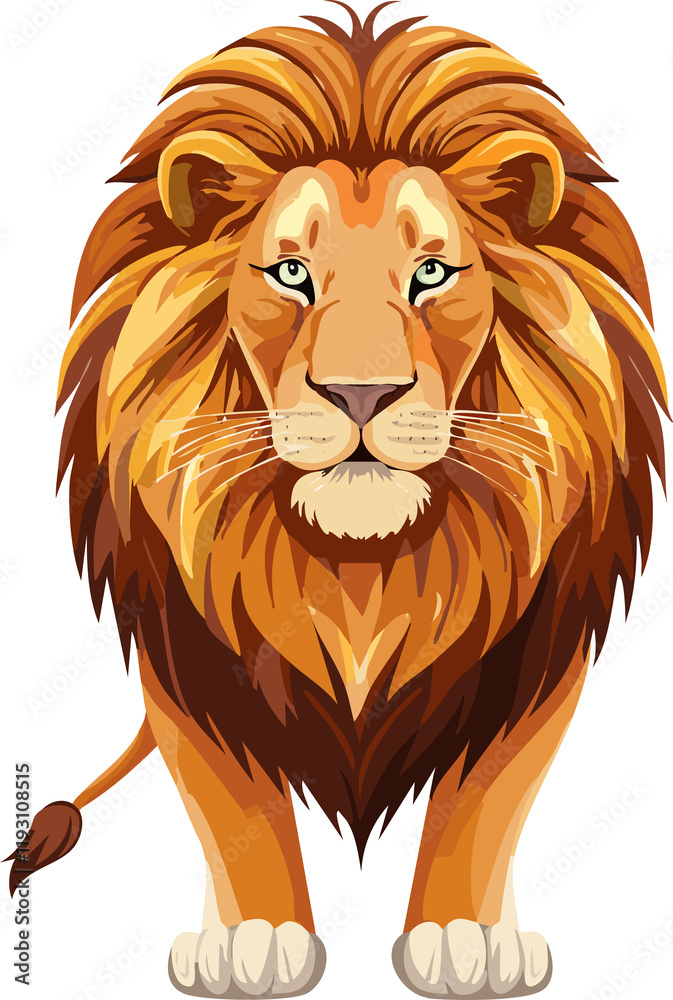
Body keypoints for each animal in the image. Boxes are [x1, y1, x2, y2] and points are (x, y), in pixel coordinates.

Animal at [7, 3, 667, 998]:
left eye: (431, 275)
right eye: (290, 275)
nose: (361, 395)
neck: (360, 566)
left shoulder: (535, 650)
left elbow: (485, 796)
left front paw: (464, 938)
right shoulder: (184, 649)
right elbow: (232, 801)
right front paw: (254, 937)